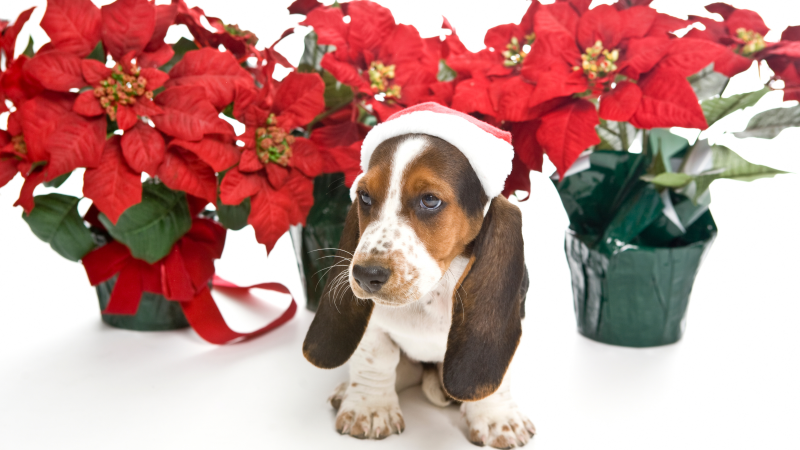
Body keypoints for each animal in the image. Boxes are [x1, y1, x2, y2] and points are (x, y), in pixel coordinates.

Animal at [304, 107, 536, 448]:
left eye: (430, 200)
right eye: (364, 196)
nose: (365, 275)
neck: (430, 294)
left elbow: (500, 377)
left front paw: (497, 418)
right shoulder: (373, 326)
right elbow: (376, 358)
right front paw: (370, 410)